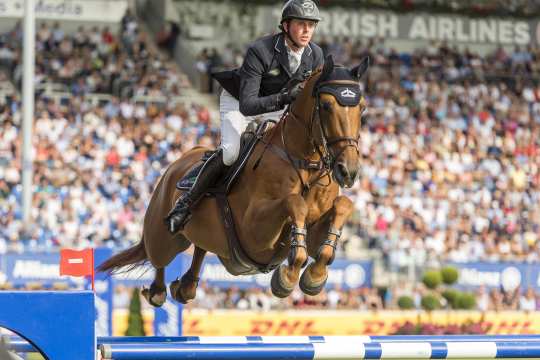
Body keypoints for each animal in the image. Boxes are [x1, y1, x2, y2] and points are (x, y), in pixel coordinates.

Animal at [97, 56, 370, 306]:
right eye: (326, 105)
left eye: (363, 108)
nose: (348, 171)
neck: (306, 165)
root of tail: (179, 161)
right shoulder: (255, 231)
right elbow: (294, 203)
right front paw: (288, 277)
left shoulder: (315, 228)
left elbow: (342, 209)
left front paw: (314, 277)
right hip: (162, 236)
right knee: (159, 258)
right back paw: (158, 288)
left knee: (199, 249)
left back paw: (185, 286)